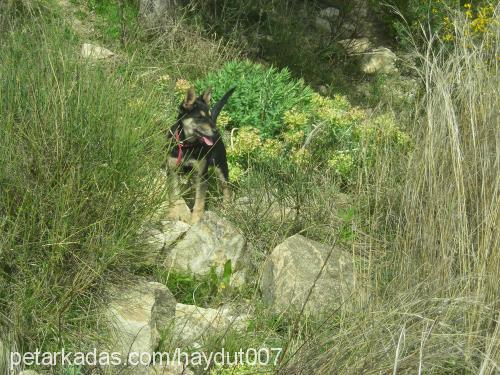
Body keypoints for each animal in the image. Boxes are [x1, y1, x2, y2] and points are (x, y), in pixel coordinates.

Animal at [167, 86, 235, 223]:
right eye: (200, 117)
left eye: (209, 116)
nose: (215, 131)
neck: (187, 145)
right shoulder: (172, 171)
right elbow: (174, 195)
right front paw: (174, 213)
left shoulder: (202, 175)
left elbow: (199, 202)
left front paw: (195, 220)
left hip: (221, 166)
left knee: (226, 188)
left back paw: (226, 206)